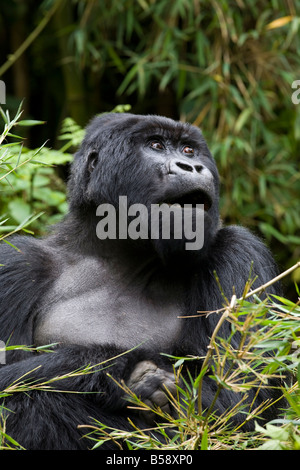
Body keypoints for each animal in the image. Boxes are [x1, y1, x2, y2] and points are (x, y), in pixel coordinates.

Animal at [0, 113, 282, 448]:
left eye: (189, 151)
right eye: (156, 145)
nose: (191, 167)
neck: (120, 254)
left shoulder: (241, 252)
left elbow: (237, 405)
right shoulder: (15, 263)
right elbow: (9, 382)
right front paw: (123, 373)